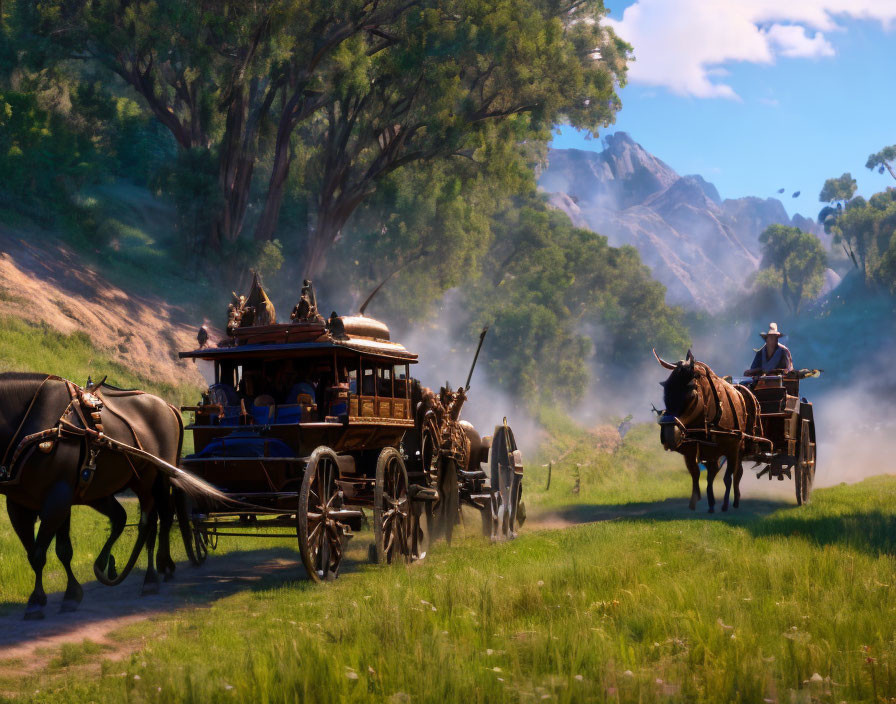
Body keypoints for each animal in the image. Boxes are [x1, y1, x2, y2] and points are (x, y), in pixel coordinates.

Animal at [0, 374, 222, 616]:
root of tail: (167, 405)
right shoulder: (22, 504)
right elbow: (50, 551)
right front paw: (69, 594)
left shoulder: (57, 499)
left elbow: (41, 553)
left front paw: (38, 601)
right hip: (120, 486)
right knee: (131, 518)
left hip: (156, 479)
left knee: (156, 520)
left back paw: (153, 575)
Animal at [656, 352, 760, 512]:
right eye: (666, 390)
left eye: (691, 394)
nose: (669, 435)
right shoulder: (693, 451)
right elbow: (696, 474)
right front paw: (696, 501)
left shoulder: (732, 449)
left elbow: (728, 477)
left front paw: (725, 504)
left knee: (736, 473)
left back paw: (734, 500)